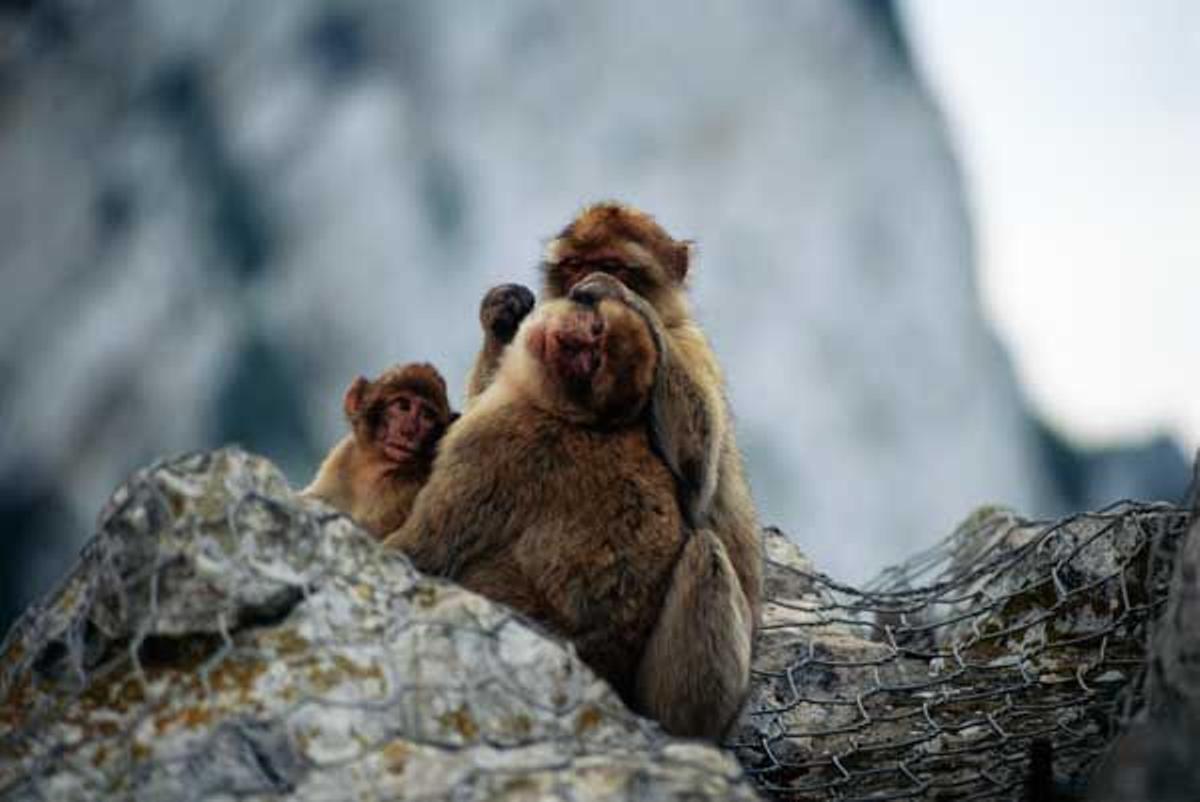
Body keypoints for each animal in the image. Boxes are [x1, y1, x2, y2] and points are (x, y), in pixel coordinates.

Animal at [302, 362, 451, 537]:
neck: (373, 470)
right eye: (403, 406)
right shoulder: (343, 457)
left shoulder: (403, 490)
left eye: (427, 416)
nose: (408, 431)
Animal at [384, 292, 748, 734]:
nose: (567, 343)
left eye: (592, 362)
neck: (562, 413)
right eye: (595, 331)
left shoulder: (492, 444)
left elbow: (422, 551)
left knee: (705, 551)